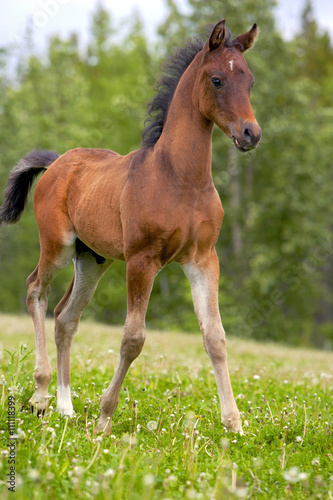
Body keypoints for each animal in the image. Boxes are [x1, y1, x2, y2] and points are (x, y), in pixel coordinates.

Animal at [0, 21, 260, 432]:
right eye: (217, 79)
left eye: (249, 80)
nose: (251, 134)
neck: (181, 179)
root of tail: (57, 162)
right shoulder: (142, 260)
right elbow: (133, 338)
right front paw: (105, 417)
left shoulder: (203, 259)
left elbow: (215, 336)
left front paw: (234, 425)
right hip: (57, 246)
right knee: (35, 291)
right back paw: (41, 395)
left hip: (92, 260)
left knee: (65, 317)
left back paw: (65, 407)